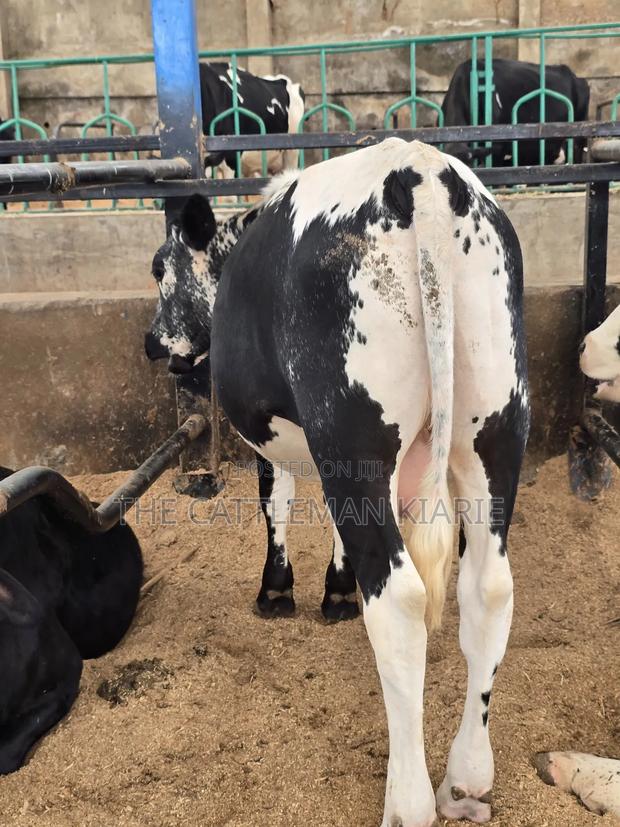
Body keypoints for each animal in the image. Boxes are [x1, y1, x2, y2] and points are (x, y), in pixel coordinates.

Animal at [146, 137, 530, 825]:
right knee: (488, 588)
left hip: (354, 437)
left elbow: (277, 504)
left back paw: (408, 801)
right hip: (495, 426)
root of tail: (421, 170)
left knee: (401, 600)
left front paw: (279, 591)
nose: (152, 342)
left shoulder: (278, 435)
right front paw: (339, 590)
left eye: (161, 268)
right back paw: (465, 780)